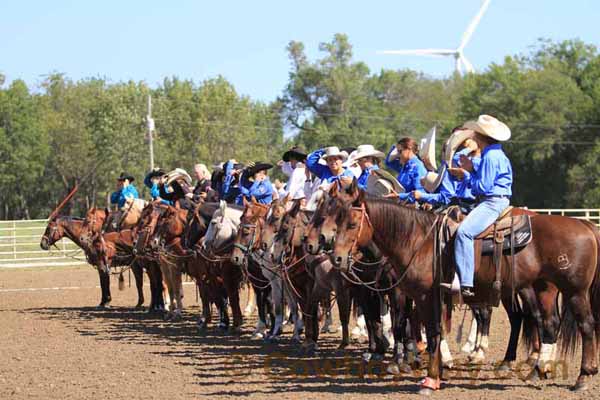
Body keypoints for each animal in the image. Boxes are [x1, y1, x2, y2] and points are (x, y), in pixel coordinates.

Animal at [328, 191, 600, 394]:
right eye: (337, 222)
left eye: (352, 224)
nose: (337, 258)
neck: (419, 241)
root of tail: (586, 225)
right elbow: (429, 332)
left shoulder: (425, 298)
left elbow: (432, 333)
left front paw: (430, 380)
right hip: (544, 289)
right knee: (550, 324)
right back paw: (538, 370)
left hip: (573, 291)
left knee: (585, 326)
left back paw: (582, 378)